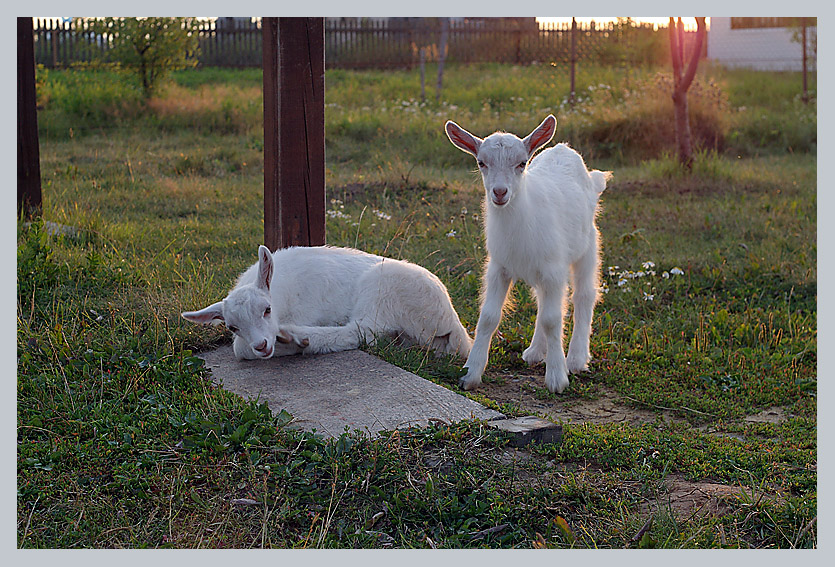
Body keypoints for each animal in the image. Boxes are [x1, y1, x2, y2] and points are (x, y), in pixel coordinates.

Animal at [180, 246, 474, 362]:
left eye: (266, 309)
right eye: (232, 327)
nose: (261, 346)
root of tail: (454, 323)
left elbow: (240, 350)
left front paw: (290, 341)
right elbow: (240, 348)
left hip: (383, 290)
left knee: (362, 332)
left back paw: (299, 337)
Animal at [448, 115, 612, 394]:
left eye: (522, 163)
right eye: (481, 162)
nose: (500, 192)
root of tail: (565, 149)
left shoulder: (553, 268)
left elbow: (552, 319)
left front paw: (557, 378)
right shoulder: (499, 267)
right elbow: (489, 317)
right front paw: (470, 373)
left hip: (588, 245)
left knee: (583, 295)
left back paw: (577, 359)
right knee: (543, 300)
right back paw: (536, 351)